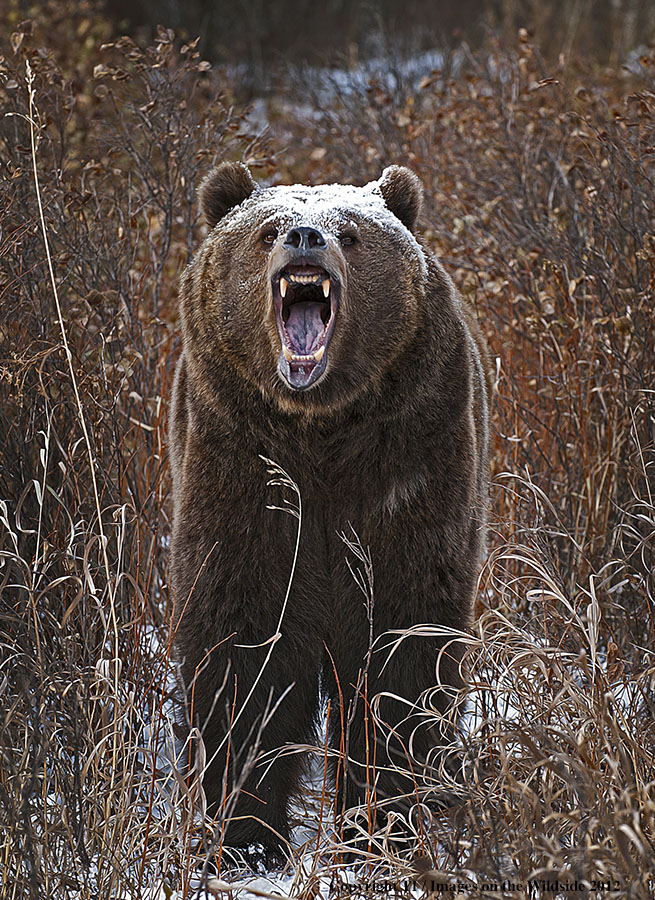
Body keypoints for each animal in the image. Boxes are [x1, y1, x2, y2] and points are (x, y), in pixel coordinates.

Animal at [172, 163, 490, 864]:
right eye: (267, 230)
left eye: (350, 231)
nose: (306, 237)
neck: (318, 428)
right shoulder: (242, 465)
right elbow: (247, 643)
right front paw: (246, 836)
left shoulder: (406, 462)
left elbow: (402, 644)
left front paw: (381, 821)